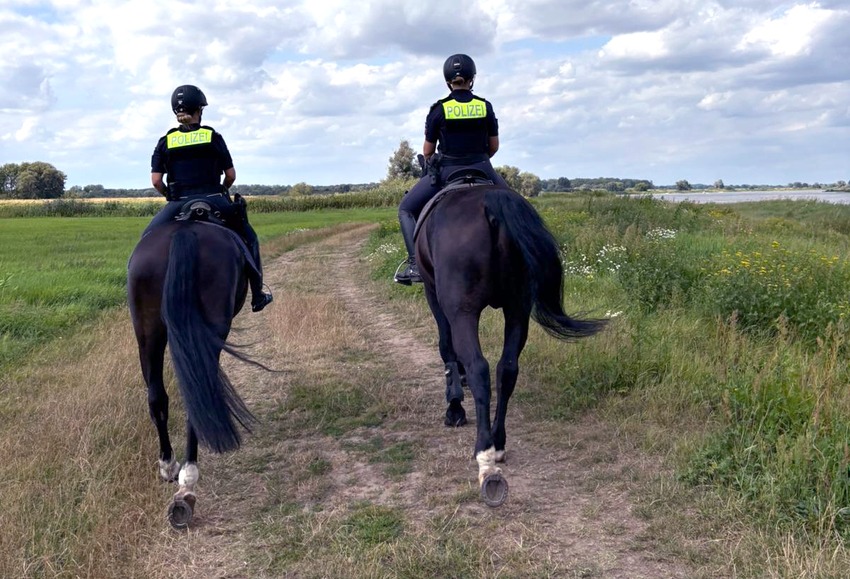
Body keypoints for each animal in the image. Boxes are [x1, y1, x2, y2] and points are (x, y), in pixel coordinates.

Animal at [414, 178, 608, 508]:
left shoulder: (433, 294)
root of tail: (492, 203)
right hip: (518, 308)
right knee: (507, 369)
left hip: (463, 311)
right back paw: (498, 444)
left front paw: (454, 408)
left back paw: (484, 457)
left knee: (480, 369)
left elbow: (446, 347)